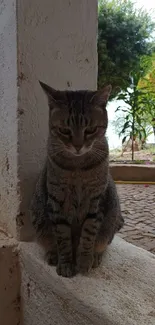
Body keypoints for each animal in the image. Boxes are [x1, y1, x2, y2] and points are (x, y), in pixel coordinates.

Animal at [30, 81, 123, 276]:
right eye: (64, 131)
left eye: (91, 130)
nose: (78, 146)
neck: (78, 167)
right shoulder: (57, 200)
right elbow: (63, 237)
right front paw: (66, 264)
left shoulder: (96, 200)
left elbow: (88, 233)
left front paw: (84, 261)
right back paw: (53, 255)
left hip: (110, 221)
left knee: (102, 242)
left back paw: (95, 256)